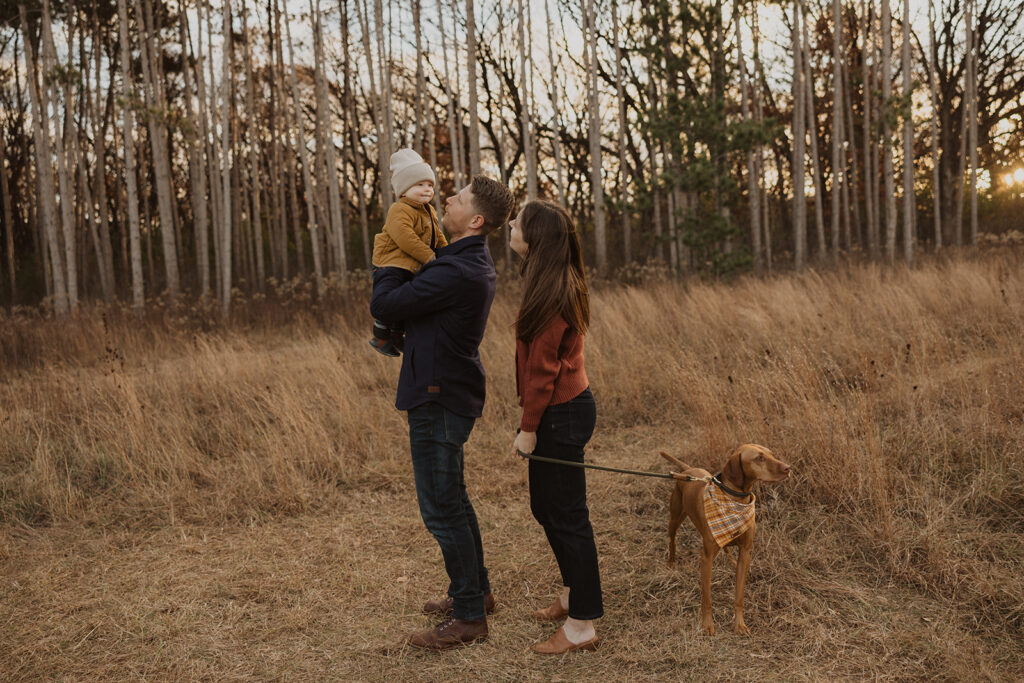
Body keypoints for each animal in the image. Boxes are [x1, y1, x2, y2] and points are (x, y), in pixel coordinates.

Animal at [659, 444, 794, 634]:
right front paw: (707, 625)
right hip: (674, 519)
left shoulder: (745, 551)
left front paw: (740, 624)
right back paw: (671, 562)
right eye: (759, 458)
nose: (788, 468)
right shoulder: (707, 558)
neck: (736, 500)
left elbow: (739, 596)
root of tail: (688, 470)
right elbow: (706, 598)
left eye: (771, 454)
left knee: (727, 547)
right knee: (672, 540)